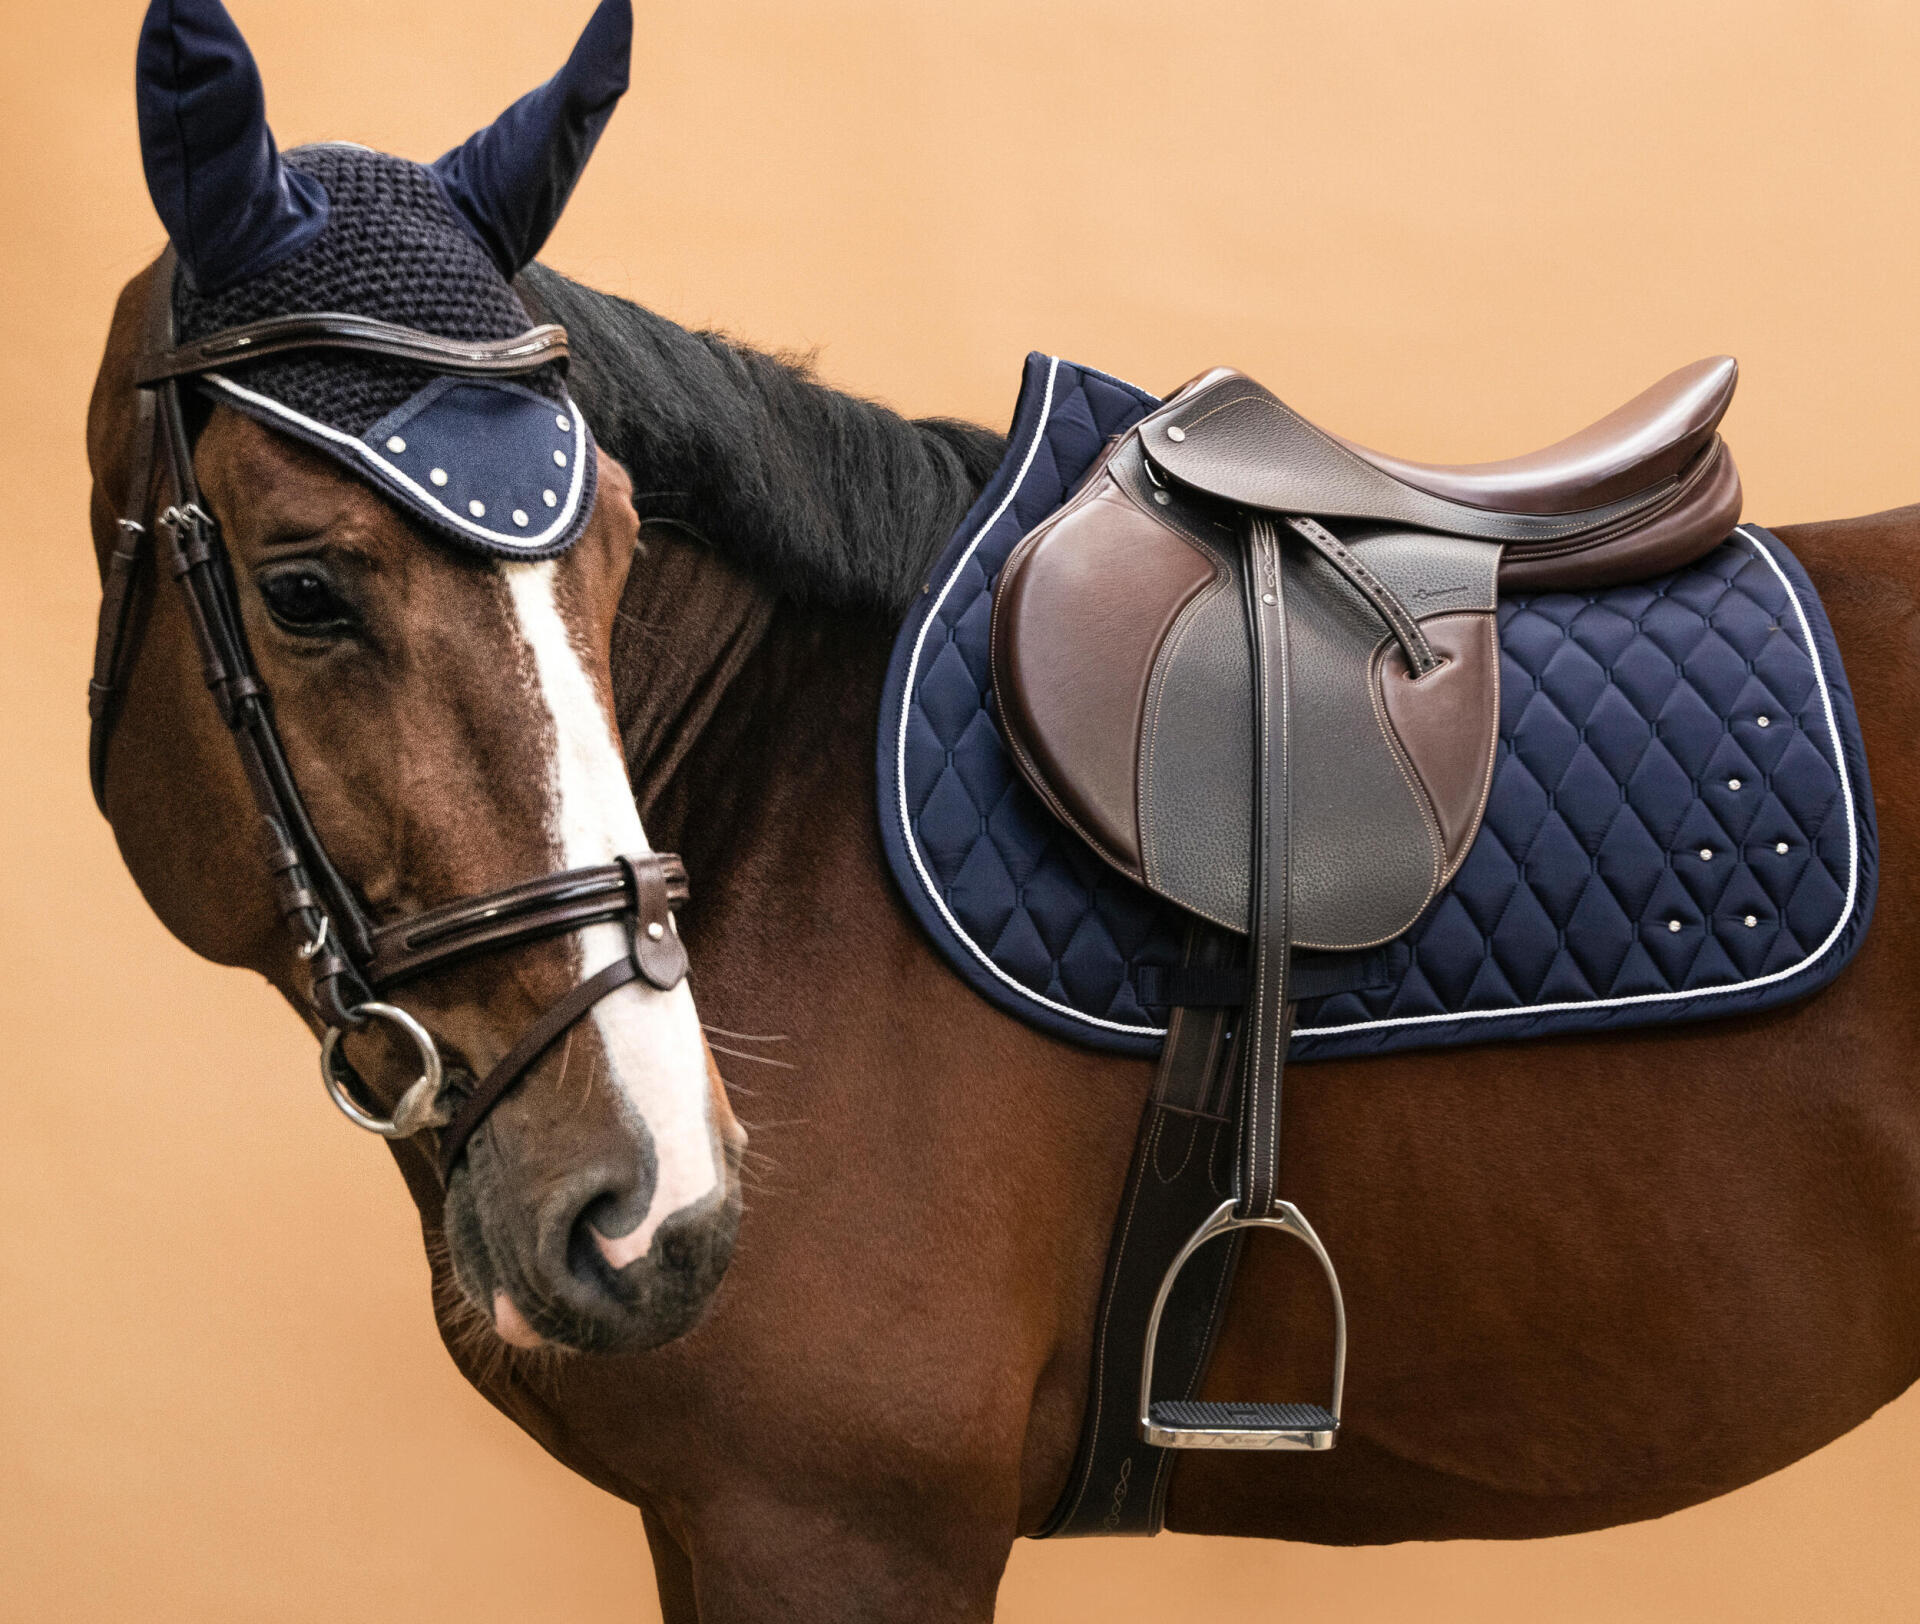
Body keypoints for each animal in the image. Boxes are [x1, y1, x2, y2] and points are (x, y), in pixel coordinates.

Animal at [89, 1, 1920, 1618]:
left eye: (608, 552)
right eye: (305, 588)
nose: (648, 1197)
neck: (771, 778)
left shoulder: (838, 1530)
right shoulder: (722, 1527)